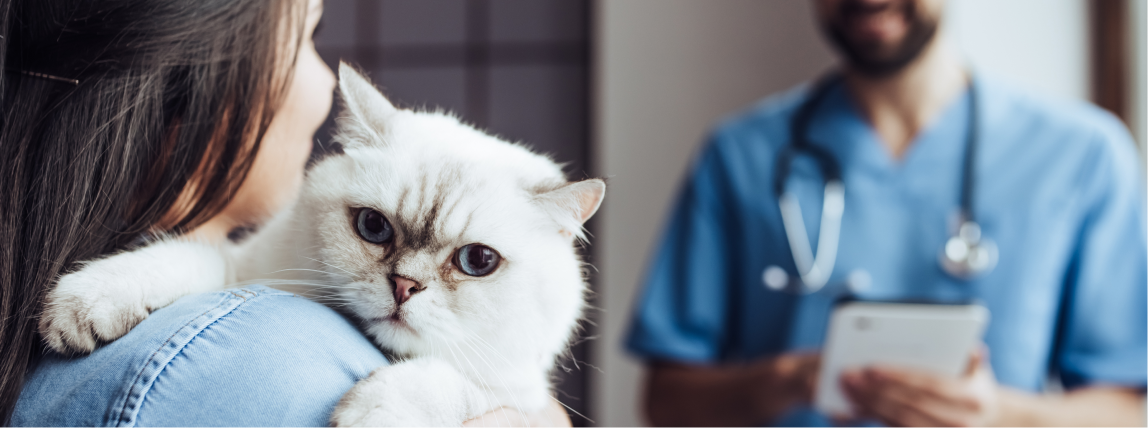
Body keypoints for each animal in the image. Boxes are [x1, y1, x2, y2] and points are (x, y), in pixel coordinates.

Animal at [39, 61, 606, 424]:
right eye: (374, 227)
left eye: (478, 260)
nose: (404, 286)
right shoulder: (246, 270)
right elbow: (181, 257)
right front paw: (84, 306)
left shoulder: (520, 390)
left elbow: (448, 382)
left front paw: (375, 411)